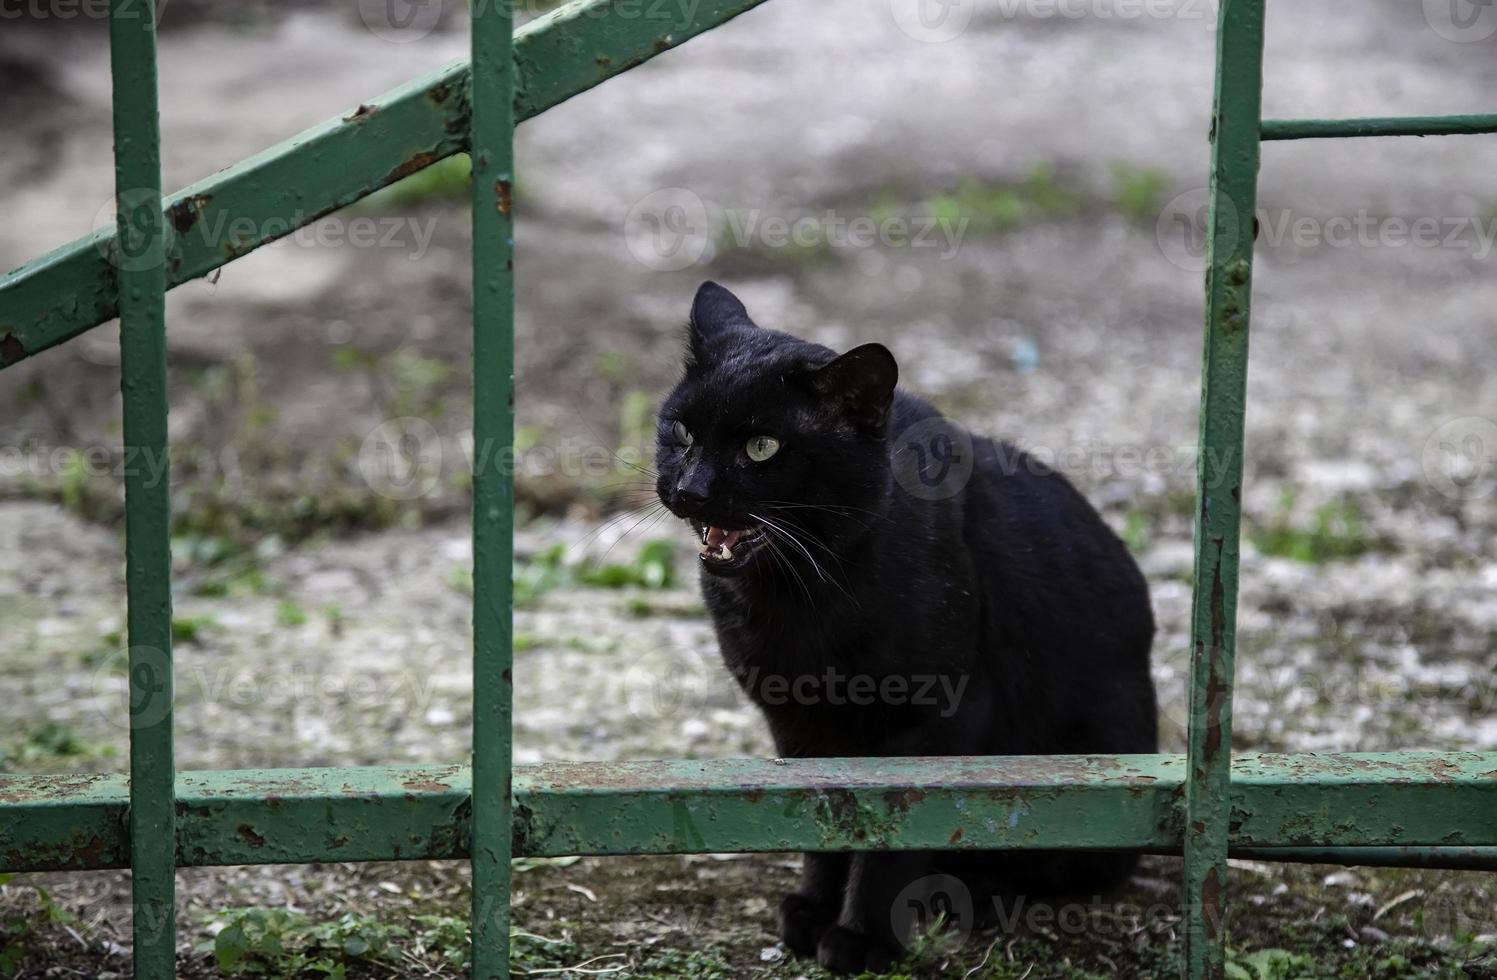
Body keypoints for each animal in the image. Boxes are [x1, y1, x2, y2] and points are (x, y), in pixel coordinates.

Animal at [652, 279, 1155, 975]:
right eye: (681, 430)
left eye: (762, 448)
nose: (690, 490)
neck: (803, 592)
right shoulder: (797, 724)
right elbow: (821, 819)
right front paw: (815, 909)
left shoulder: (942, 716)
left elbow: (893, 834)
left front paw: (864, 937)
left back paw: (969, 888)